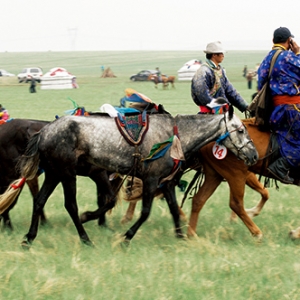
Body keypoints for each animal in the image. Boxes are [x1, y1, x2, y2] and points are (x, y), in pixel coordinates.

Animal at [0, 104, 258, 247]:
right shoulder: (151, 180)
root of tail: (43, 132)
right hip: (66, 173)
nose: (254, 155)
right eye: (240, 130)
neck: (175, 135)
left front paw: (181, 237)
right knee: (70, 206)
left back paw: (28, 239)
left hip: (54, 173)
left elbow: (174, 210)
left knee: (39, 201)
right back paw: (85, 237)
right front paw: (126, 238)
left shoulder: (166, 183)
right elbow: (144, 212)